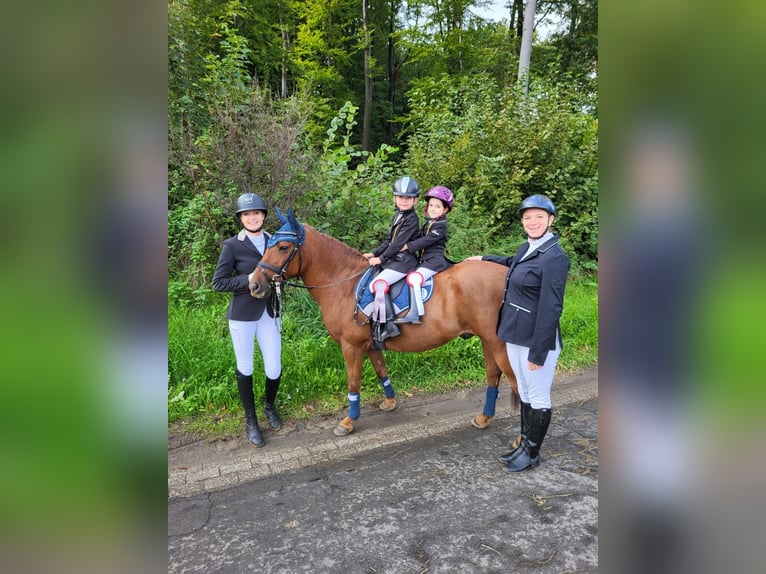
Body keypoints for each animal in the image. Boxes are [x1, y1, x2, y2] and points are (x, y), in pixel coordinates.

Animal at [249, 209, 520, 438]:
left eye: (283, 247)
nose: (254, 285)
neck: (344, 284)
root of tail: (507, 276)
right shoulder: (370, 344)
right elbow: (381, 370)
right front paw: (390, 401)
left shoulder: (351, 346)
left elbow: (353, 381)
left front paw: (348, 421)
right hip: (486, 340)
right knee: (493, 375)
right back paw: (484, 417)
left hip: (497, 343)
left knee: (515, 381)